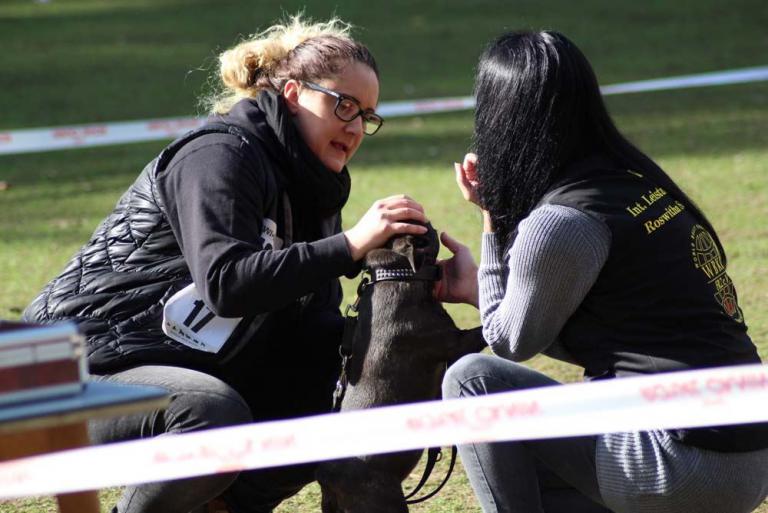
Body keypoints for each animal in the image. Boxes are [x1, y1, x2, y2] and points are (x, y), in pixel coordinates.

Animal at [316, 222, 486, 513]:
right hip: (385, 499)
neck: (397, 274)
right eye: (427, 232)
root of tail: (328, 480)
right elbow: (483, 331)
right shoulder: (457, 342)